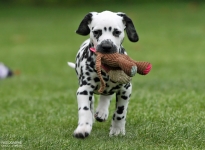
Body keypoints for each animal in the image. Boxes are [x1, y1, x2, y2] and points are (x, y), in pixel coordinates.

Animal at [68, 10, 139, 139]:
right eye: (96, 32)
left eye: (116, 32)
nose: (106, 46)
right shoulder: (84, 89)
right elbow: (85, 110)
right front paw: (83, 128)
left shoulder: (126, 90)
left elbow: (120, 112)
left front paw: (117, 130)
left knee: (106, 96)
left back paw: (102, 112)